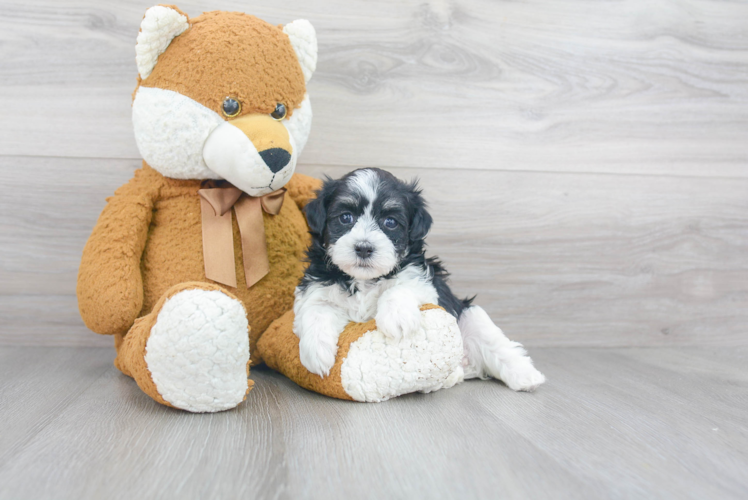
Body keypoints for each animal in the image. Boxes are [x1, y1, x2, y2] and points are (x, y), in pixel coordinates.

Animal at [292, 168, 544, 390]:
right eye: (345, 217)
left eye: (390, 222)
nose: (363, 248)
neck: (365, 279)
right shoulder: (315, 288)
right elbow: (316, 310)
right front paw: (315, 354)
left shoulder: (425, 282)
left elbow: (400, 287)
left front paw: (396, 318)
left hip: (470, 315)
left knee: (497, 345)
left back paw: (526, 376)